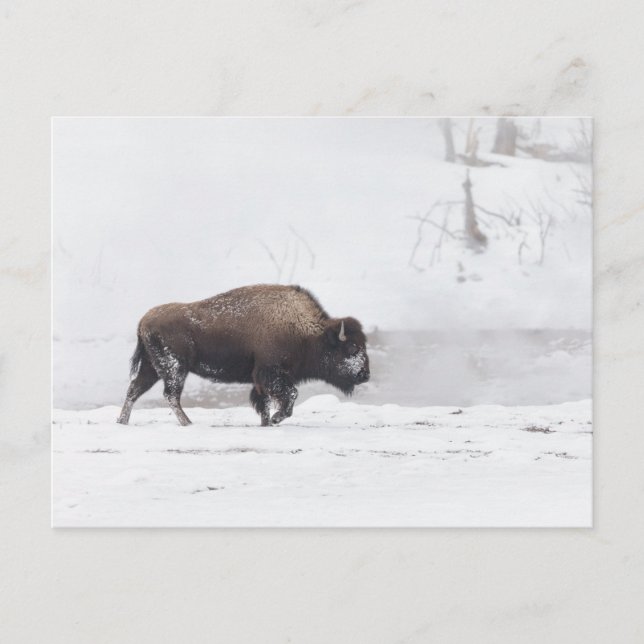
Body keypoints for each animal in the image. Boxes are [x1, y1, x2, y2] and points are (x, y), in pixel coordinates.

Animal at [117, 284, 370, 426]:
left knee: (134, 390)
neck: (304, 331)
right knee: (170, 395)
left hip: (152, 368)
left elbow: (264, 401)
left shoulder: (261, 380)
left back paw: (122, 422)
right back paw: (187, 423)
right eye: (352, 348)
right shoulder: (271, 373)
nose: (364, 375)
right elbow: (290, 395)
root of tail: (144, 320)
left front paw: (267, 422)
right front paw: (276, 419)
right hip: (174, 369)